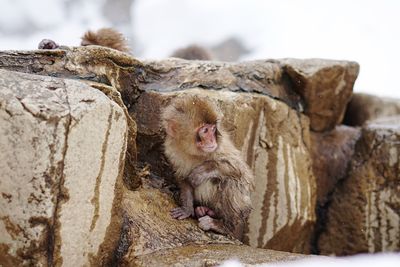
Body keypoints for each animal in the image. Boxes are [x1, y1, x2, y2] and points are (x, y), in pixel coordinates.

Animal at [162, 94, 253, 241]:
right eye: (205, 130)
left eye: (213, 129)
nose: (212, 140)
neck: (193, 152)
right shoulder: (172, 151)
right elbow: (183, 177)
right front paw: (187, 209)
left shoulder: (220, 147)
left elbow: (241, 171)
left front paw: (202, 172)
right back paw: (203, 210)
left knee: (230, 182)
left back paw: (222, 225)